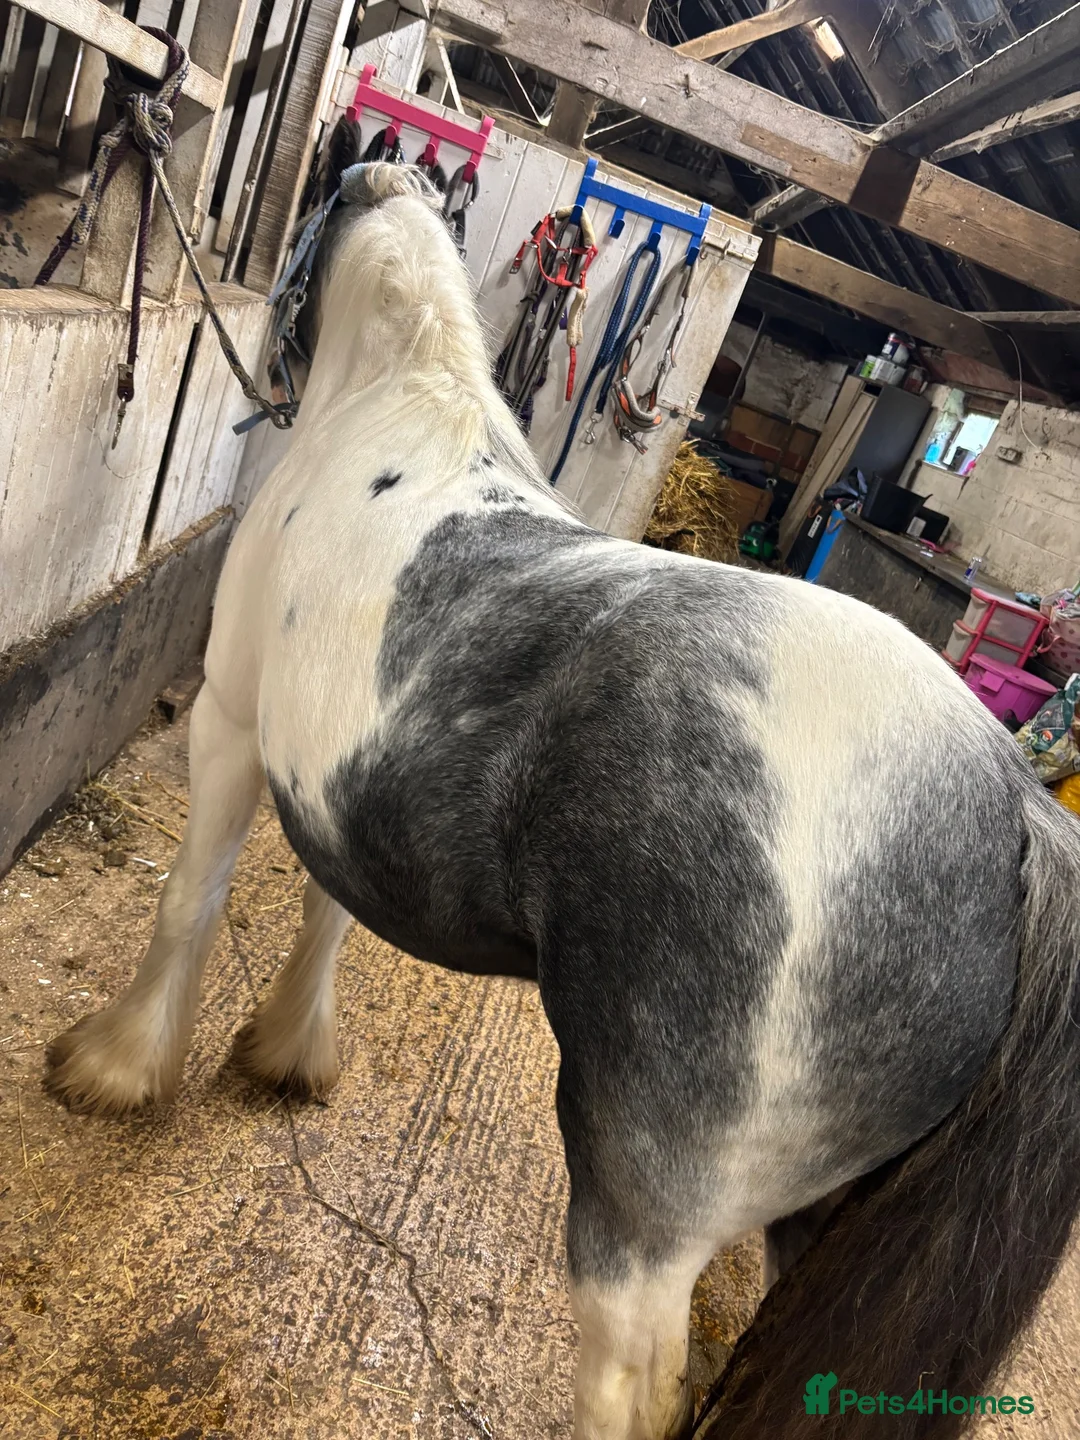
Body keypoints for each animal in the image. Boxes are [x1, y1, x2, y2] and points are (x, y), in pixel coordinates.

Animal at [46, 122, 1080, 1440]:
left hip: (642, 1218)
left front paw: (116, 1068)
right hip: (815, 1226)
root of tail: (1010, 815)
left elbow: (190, 902)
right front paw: (287, 1051)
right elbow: (333, 912)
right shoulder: (354, 787)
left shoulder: (228, 722)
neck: (398, 404)